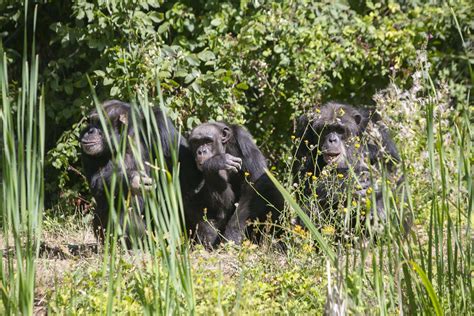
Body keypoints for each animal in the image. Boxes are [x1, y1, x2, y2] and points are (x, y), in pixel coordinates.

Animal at [292, 102, 404, 231]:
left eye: (340, 130)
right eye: (327, 129)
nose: (332, 139)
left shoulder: (376, 126)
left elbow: (392, 167)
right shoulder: (303, 131)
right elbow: (303, 181)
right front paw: (349, 183)